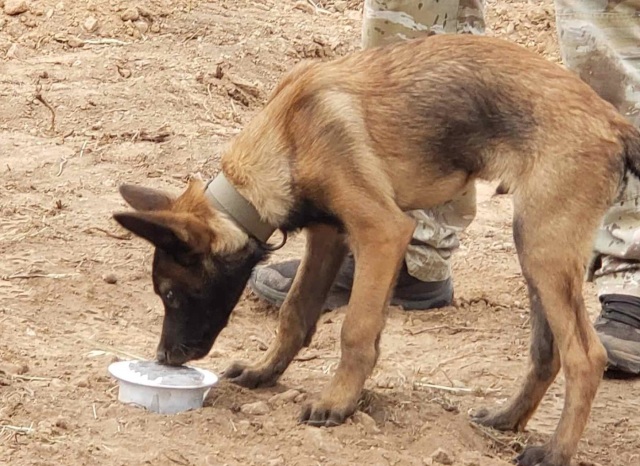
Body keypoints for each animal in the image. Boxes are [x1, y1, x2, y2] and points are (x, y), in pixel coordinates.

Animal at [112, 35, 636, 466]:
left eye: (171, 294)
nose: (164, 358)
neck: (288, 137)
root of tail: (612, 121)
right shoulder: (330, 235)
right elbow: (296, 313)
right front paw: (266, 372)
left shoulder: (382, 231)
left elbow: (356, 330)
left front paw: (337, 402)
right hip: (536, 248)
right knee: (548, 351)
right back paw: (507, 419)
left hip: (543, 246)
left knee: (585, 356)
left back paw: (555, 452)